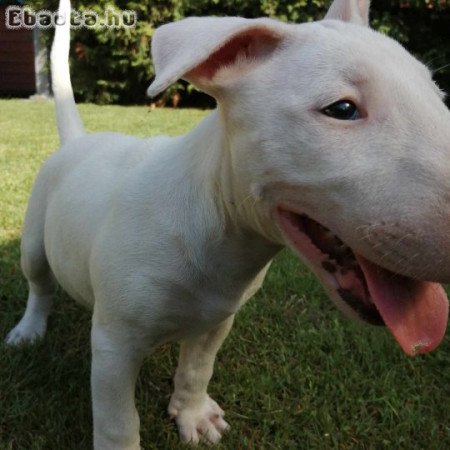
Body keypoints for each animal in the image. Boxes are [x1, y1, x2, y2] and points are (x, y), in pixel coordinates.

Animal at [6, 0, 450, 446]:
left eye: (439, 98)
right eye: (341, 109)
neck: (221, 229)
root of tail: (80, 141)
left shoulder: (218, 320)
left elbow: (197, 369)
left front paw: (194, 416)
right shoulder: (115, 342)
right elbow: (118, 420)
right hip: (34, 241)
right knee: (39, 285)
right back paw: (29, 330)